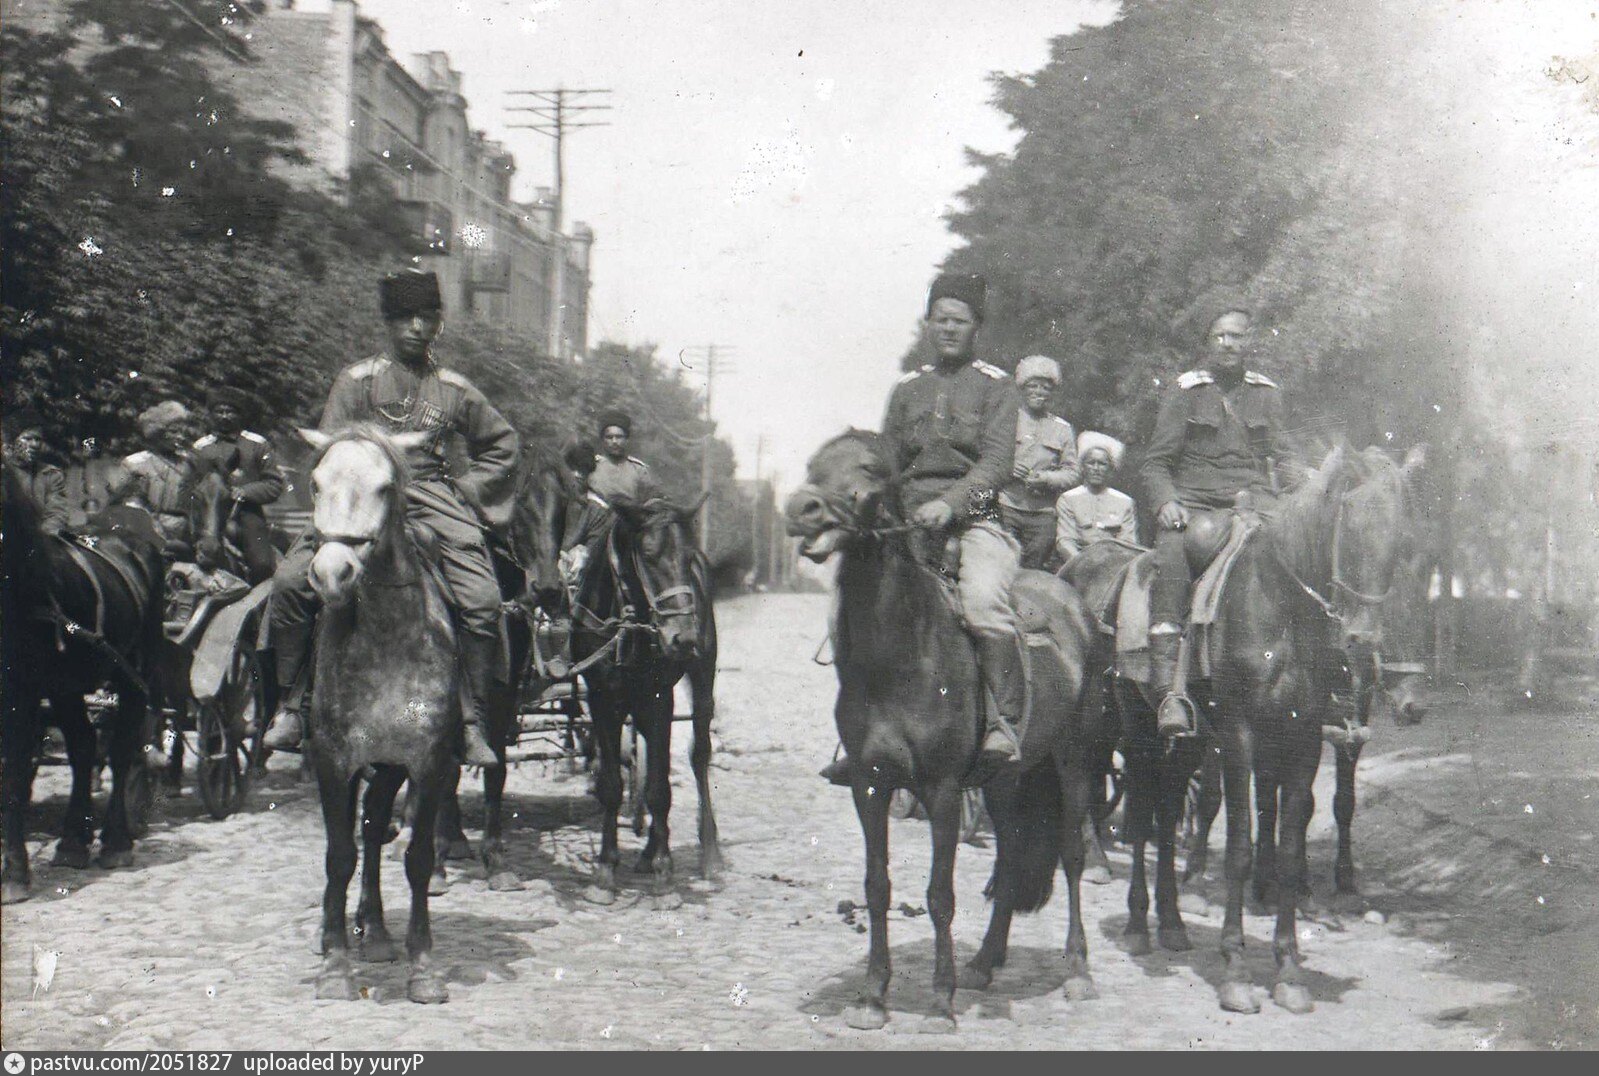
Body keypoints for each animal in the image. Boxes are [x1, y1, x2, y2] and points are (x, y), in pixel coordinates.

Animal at [2, 466, 166, 901]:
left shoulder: (22, 695)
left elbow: (13, 771)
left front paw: (14, 873)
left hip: (134, 673)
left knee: (123, 748)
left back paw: (116, 843)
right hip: (66, 686)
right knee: (83, 747)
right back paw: (73, 842)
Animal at [297, 425, 460, 1004]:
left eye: (386, 487)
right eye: (316, 482)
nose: (332, 574)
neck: (388, 640)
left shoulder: (429, 763)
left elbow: (416, 859)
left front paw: (423, 966)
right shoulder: (331, 760)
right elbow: (337, 856)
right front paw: (335, 966)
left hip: (389, 768)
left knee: (371, 827)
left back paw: (379, 930)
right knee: (357, 836)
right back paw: (343, 932)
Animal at [572, 489, 722, 895]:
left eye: (687, 559)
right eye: (649, 556)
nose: (683, 639)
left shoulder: (658, 697)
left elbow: (659, 788)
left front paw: (664, 871)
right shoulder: (600, 698)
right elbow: (611, 783)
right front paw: (606, 867)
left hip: (702, 676)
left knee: (698, 754)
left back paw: (709, 853)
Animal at [783, 431, 1106, 1029]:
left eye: (869, 468)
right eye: (814, 463)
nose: (801, 509)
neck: (902, 654)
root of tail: (1076, 606)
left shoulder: (942, 791)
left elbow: (939, 895)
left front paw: (939, 1000)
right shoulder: (869, 785)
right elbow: (877, 887)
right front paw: (873, 996)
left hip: (1076, 760)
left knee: (1072, 855)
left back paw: (1077, 970)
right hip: (1005, 780)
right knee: (1010, 857)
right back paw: (984, 962)